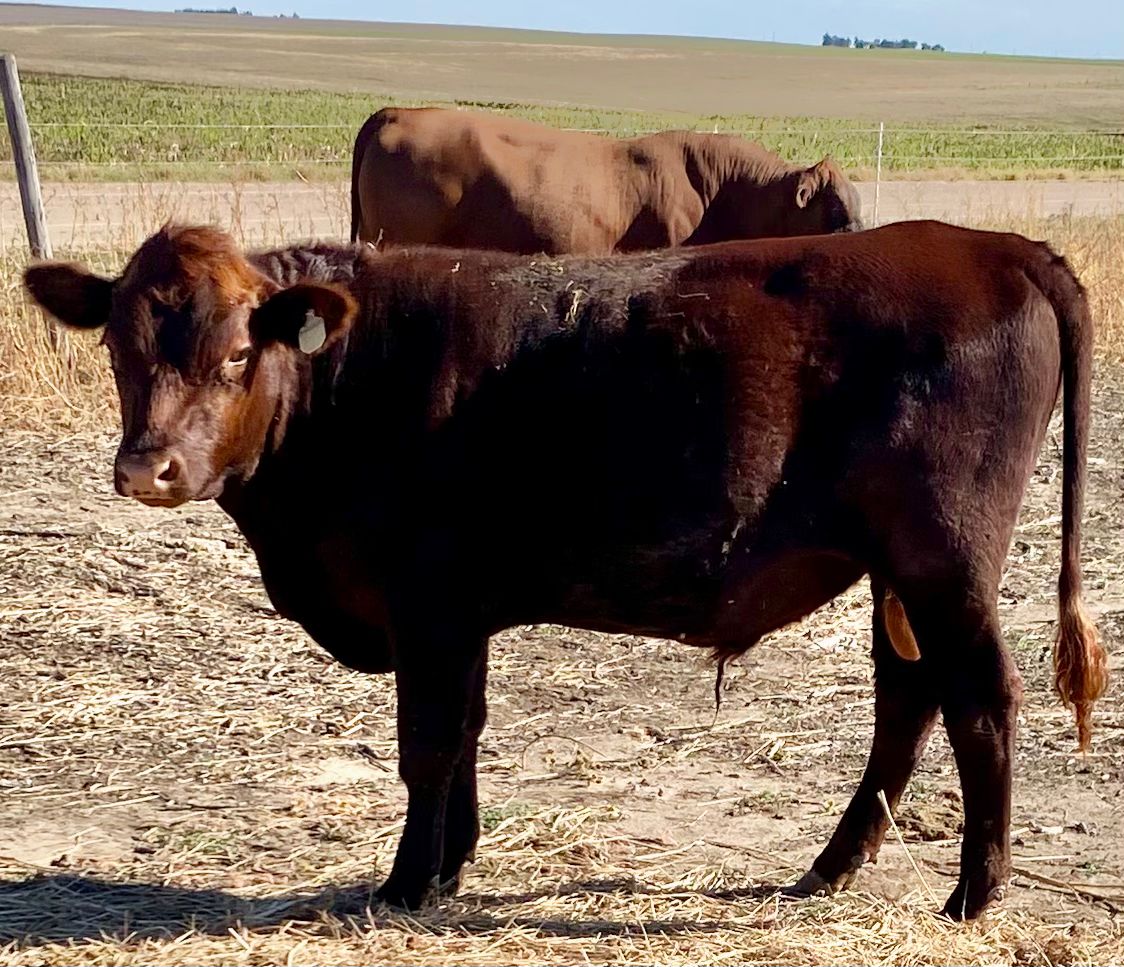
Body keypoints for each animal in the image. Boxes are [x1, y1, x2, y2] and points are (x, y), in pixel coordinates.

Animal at [24, 219, 1104, 921]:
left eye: (237, 351)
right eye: (118, 346)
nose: (147, 467)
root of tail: (995, 246)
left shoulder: (429, 604)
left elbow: (427, 744)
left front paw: (404, 883)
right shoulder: (458, 616)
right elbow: (464, 734)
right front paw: (449, 866)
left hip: (943, 559)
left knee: (978, 702)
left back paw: (972, 892)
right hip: (896, 571)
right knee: (906, 698)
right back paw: (830, 868)